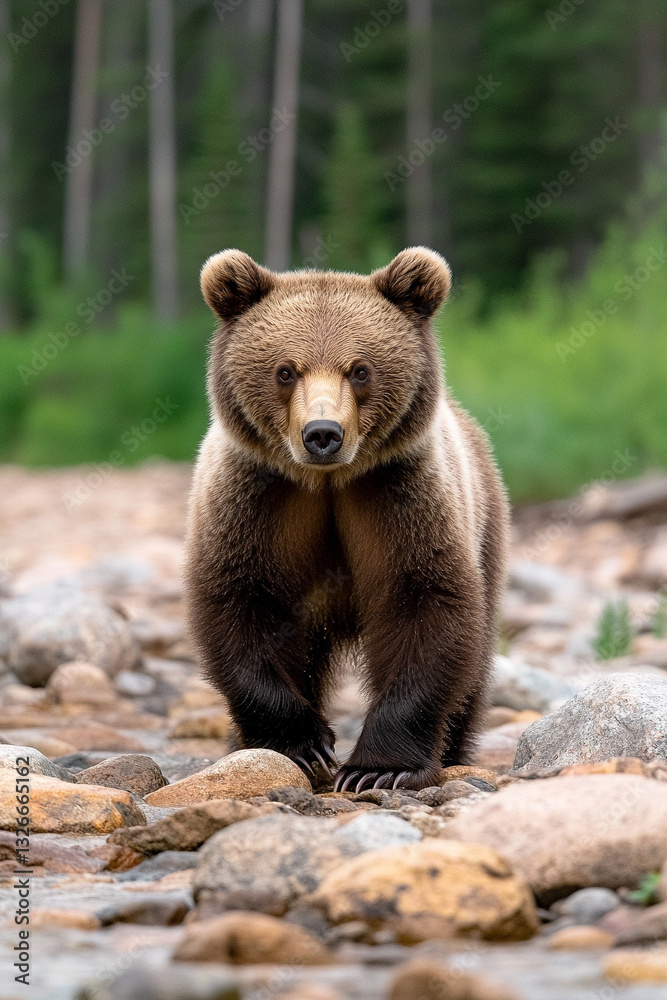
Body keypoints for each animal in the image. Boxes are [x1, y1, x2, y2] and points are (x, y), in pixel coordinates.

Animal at [185, 246, 509, 792]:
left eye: (359, 370)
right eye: (285, 370)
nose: (322, 433)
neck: (328, 484)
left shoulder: (398, 495)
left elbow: (425, 604)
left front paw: (378, 769)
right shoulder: (257, 499)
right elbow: (240, 603)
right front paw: (304, 745)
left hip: (485, 527)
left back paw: (453, 751)